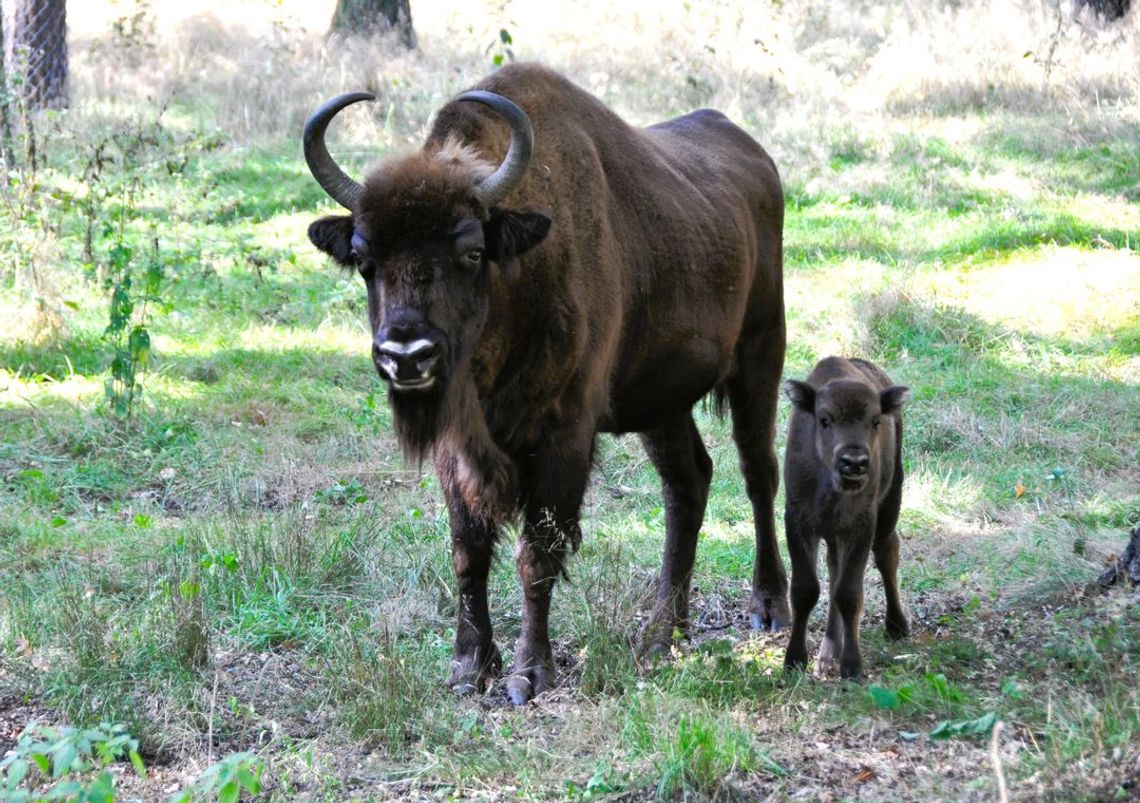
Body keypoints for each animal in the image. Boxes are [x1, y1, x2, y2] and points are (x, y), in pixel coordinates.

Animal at [300, 62, 784, 702]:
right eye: (363, 258)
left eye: (471, 250)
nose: (407, 353)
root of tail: (756, 157)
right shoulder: (459, 450)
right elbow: (469, 552)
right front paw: (470, 667)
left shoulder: (564, 436)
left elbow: (538, 553)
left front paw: (529, 673)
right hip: (661, 403)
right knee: (688, 484)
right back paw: (664, 633)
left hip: (761, 355)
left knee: (758, 473)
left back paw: (768, 608)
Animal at [784, 358, 907, 675]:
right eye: (824, 419)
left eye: (875, 421)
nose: (854, 462)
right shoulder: (799, 523)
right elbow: (805, 589)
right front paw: (794, 660)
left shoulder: (860, 527)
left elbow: (849, 593)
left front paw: (852, 665)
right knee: (833, 570)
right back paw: (828, 654)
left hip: (890, 502)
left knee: (887, 552)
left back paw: (897, 626)